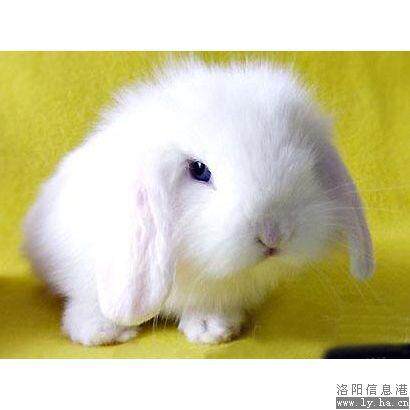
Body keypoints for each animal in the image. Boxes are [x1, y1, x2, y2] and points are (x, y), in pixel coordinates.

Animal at [22, 60, 374, 346]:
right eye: (199, 170)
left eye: (308, 163)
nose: (273, 234)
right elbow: (88, 301)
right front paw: (103, 333)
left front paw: (213, 330)